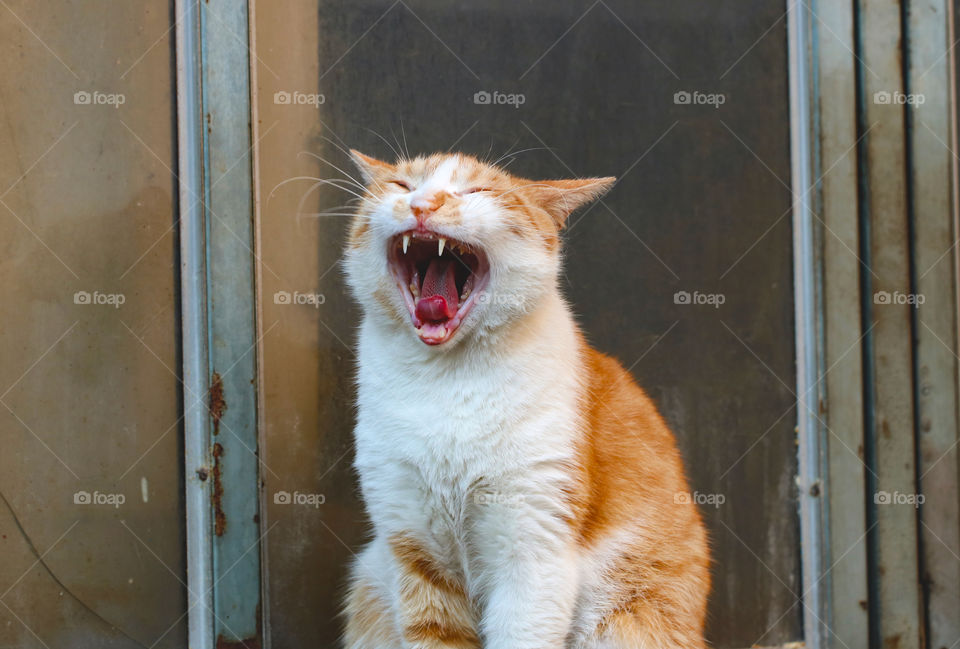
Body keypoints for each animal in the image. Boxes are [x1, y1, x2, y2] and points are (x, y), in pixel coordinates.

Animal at [342, 149, 708, 644]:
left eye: (477, 190)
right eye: (402, 185)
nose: (422, 204)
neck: (448, 382)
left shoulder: (535, 548)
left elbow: (522, 632)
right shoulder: (413, 547)